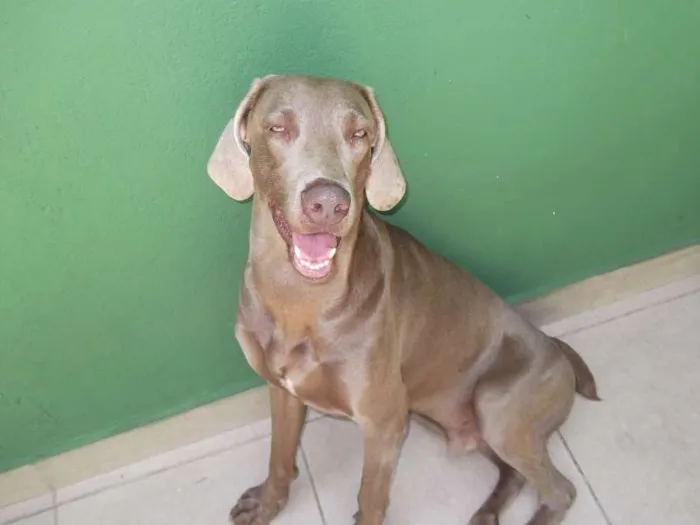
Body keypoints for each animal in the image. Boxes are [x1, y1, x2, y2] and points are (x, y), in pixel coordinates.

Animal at [205, 73, 600, 524]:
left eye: (359, 134)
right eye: (277, 128)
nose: (328, 203)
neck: (300, 298)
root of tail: (557, 347)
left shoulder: (385, 422)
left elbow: (371, 498)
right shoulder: (283, 390)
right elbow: (279, 455)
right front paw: (268, 502)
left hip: (497, 408)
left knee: (559, 489)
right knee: (514, 475)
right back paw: (486, 514)